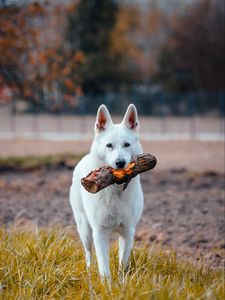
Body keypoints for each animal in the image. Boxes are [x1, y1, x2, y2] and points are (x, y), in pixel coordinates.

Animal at [70, 104, 144, 280]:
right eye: (109, 145)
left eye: (127, 144)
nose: (120, 163)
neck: (115, 188)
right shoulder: (99, 233)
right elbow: (104, 269)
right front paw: (107, 285)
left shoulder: (128, 232)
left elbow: (122, 264)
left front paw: (122, 283)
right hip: (85, 230)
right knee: (89, 254)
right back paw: (89, 272)